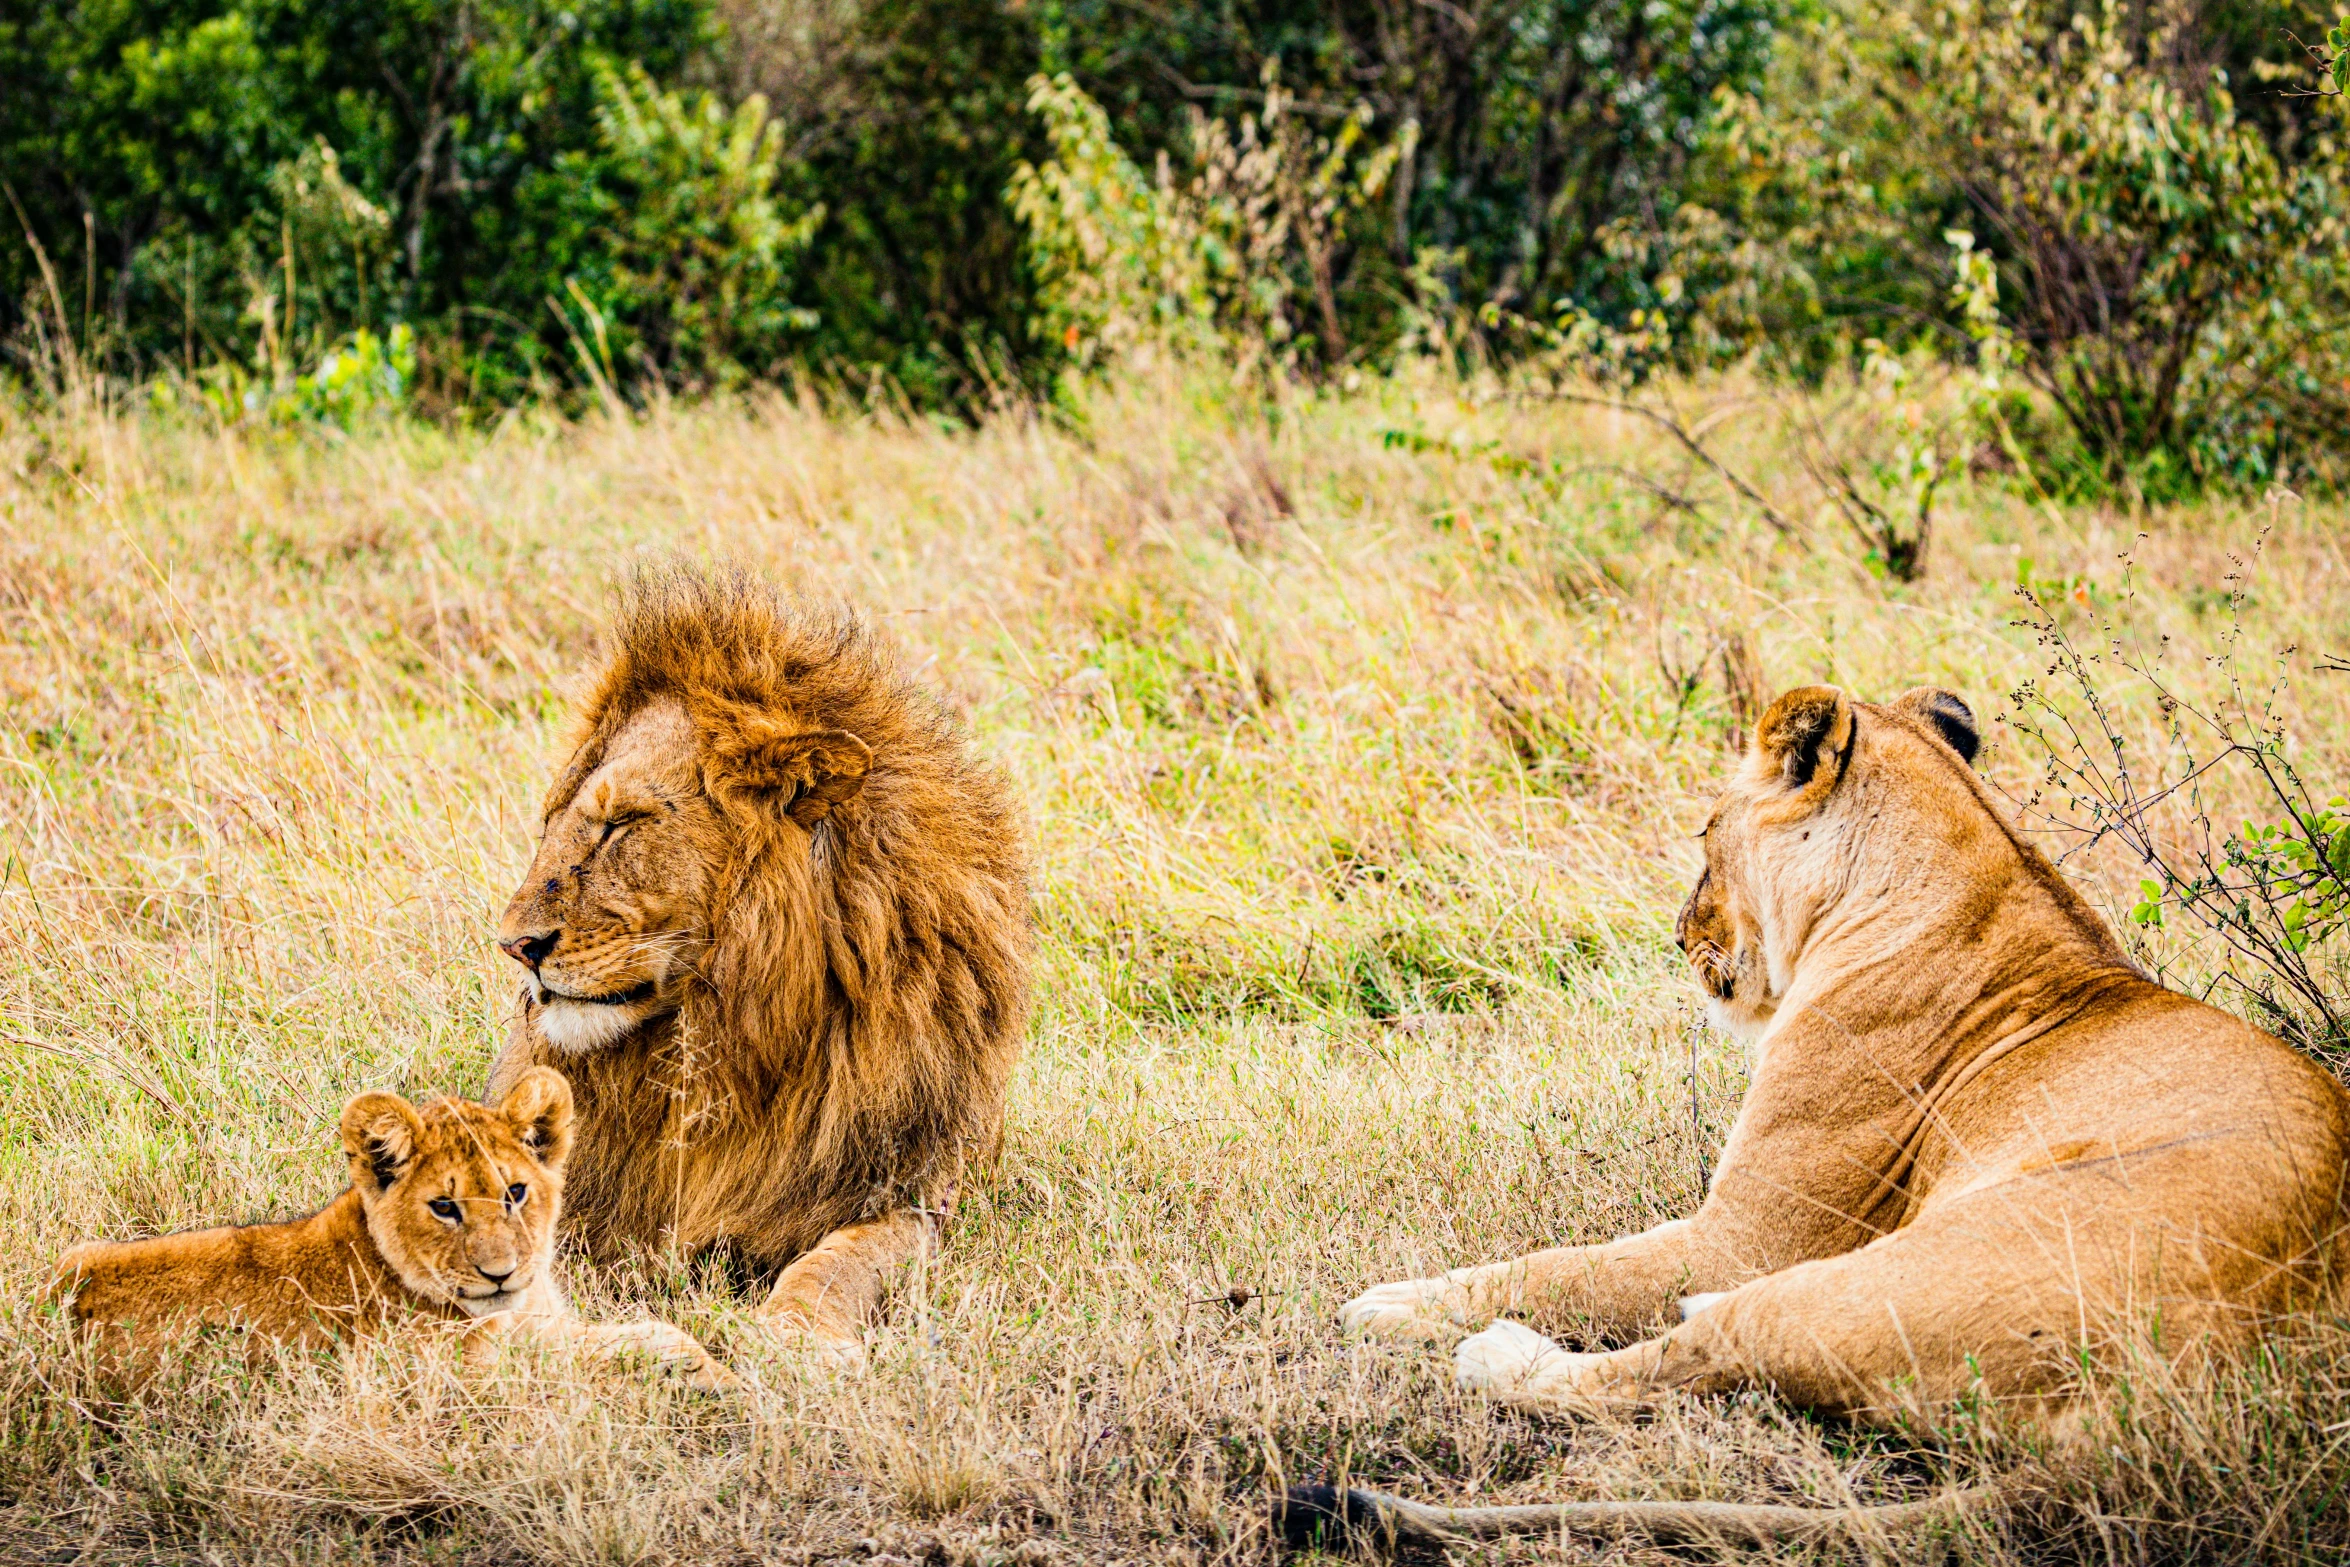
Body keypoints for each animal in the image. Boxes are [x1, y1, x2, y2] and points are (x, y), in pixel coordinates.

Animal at [57, 1071, 733, 1390]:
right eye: (444, 1207)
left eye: (515, 1193)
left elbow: (655, 1332)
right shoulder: (458, 1385)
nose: (500, 1274)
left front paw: (719, 1372)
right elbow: (591, 1374)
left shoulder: (545, 1329)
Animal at [486, 570, 1029, 1362]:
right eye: (550, 823)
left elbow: (838, 1263)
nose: (514, 945)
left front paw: (796, 1339)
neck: (723, 1038)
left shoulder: (910, 1188)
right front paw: (659, 1354)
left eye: (622, 824)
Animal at [1344, 686, 2350, 1437]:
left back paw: (1493, 1352)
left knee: (1681, 1360)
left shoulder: (1748, 1236)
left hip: (1875, 1279)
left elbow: (1561, 1267)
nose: (1679, 933)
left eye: (1705, 832)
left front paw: (1395, 1302)